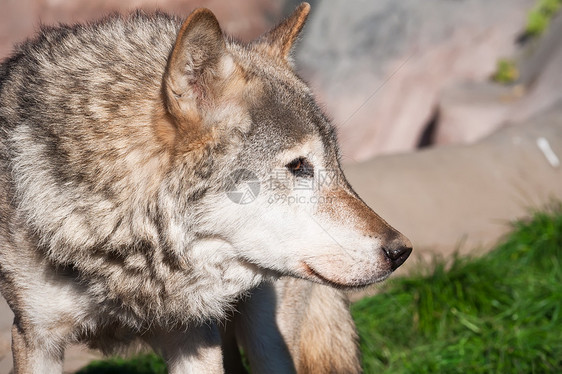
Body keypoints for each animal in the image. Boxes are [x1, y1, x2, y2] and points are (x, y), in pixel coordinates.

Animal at [0, 3, 410, 374]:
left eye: (336, 164)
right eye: (299, 167)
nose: (401, 251)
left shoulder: (195, 335)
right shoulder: (35, 337)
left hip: (266, 338)